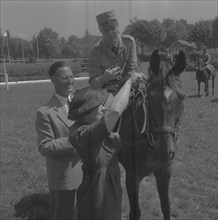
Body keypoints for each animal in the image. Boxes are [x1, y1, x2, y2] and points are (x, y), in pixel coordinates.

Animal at [117, 49, 186, 220]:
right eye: (151, 97)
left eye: (182, 97)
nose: (165, 151)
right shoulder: (132, 177)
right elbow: (135, 212)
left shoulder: (164, 172)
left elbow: (166, 207)